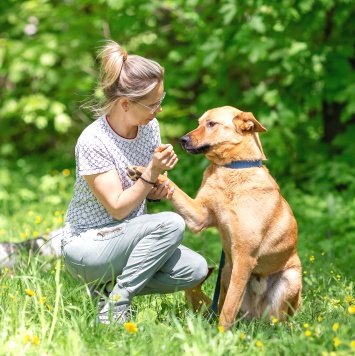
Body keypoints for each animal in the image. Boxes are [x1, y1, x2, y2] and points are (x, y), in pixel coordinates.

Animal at [126, 106, 302, 330]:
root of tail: (255, 316)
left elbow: (229, 307)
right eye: (199, 122)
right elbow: (172, 185)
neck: (230, 168)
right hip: (226, 272)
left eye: (211, 124)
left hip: (289, 279)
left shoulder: (244, 256)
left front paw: (221, 334)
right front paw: (143, 172)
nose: (182, 139)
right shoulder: (200, 217)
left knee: (275, 320)